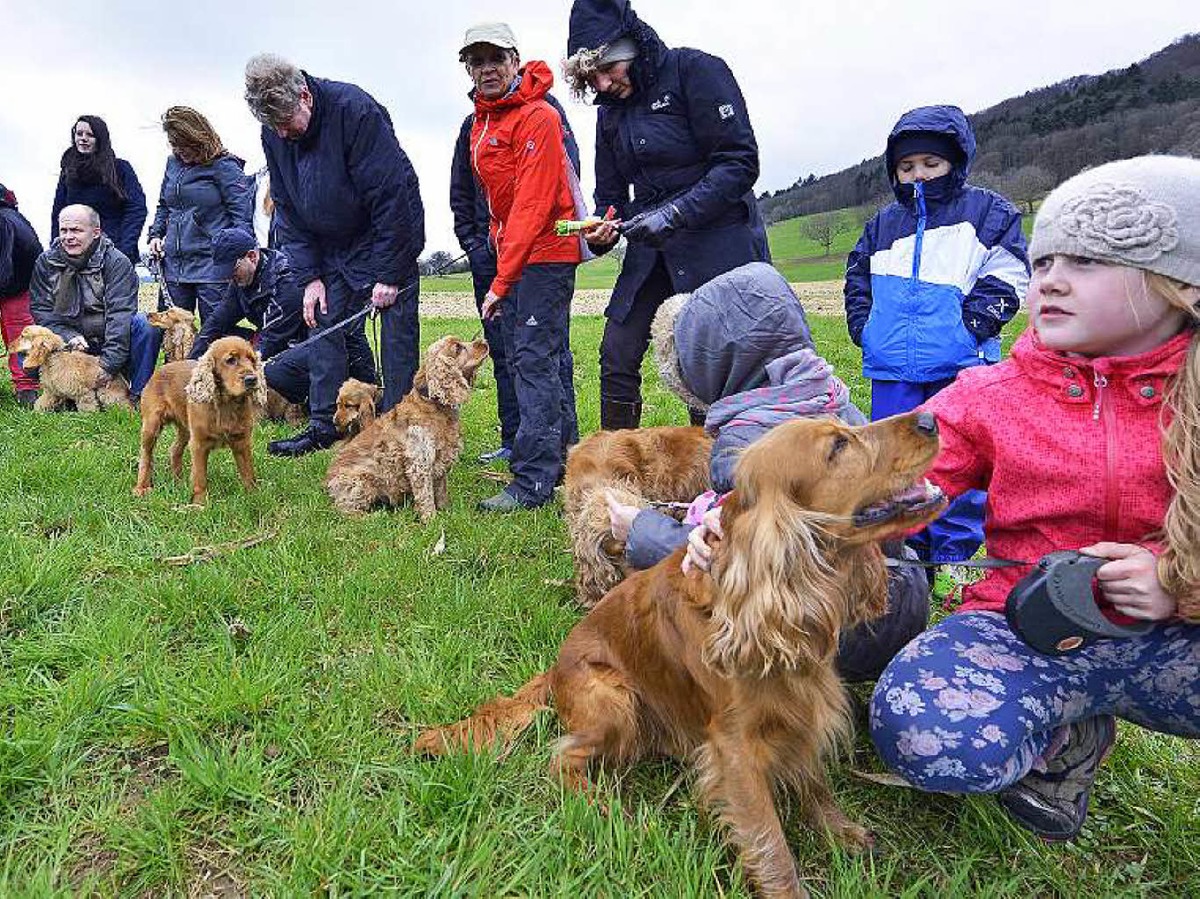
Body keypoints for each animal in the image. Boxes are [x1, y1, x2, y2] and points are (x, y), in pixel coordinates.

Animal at [136, 336, 267, 504]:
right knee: (146, 455)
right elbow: (200, 477)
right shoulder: (199, 443)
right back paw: (142, 487)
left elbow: (248, 472)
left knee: (175, 449)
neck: (226, 403)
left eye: (252, 360)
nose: (252, 379)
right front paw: (199, 503)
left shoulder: (242, 441)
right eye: (231, 360)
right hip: (152, 425)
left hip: (185, 429)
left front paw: (254, 496)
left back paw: (179, 481)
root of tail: (160, 369)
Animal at [326, 336, 489, 518]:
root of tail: (327, 483)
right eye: (458, 348)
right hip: (360, 482)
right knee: (345, 509)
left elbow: (441, 490)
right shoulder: (419, 461)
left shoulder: (440, 460)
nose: (484, 341)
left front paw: (446, 510)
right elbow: (426, 495)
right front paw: (431, 519)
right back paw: (375, 516)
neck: (434, 404)